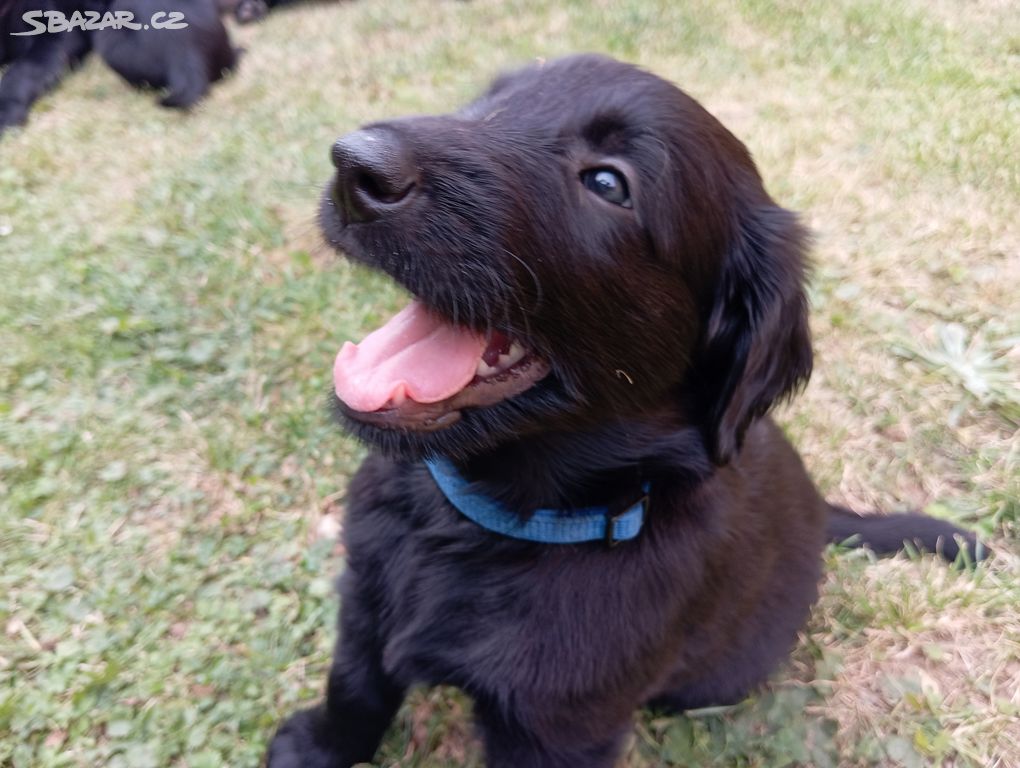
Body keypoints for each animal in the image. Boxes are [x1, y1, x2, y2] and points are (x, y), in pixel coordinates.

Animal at [267, 55, 983, 766]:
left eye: (609, 183)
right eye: (483, 105)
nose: (355, 166)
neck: (480, 522)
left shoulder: (561, 726)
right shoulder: (363, 594)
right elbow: (355, 683)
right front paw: (318, 747)